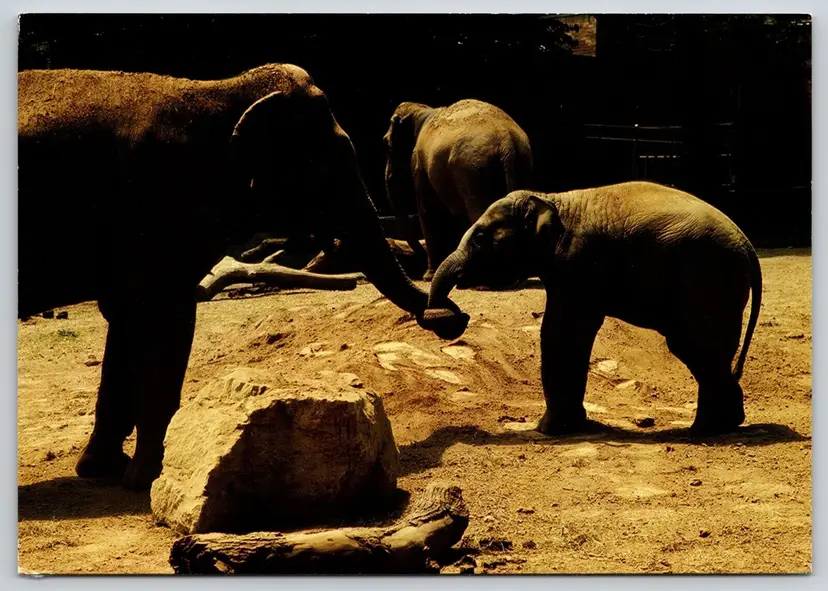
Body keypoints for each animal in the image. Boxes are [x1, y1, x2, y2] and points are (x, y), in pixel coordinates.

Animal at [18, 64, 469, 490]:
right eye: (327, 167)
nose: (452, 316)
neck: (221, 90)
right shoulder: (161, 205)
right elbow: (163, 320)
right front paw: (149, 478)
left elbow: (126, 320)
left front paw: (103, 471)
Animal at [383, 99, 533, 280]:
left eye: (387, 146)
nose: (420, 273)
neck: (422, 111)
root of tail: (507, 142)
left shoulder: (420, 163)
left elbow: (428, 210)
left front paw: (429, 276)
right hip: (521, 161)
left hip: (474, 170)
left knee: (478, 212)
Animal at [427, 181, 763, 436]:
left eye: (481, 238)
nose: (458, 315)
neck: (552, 199)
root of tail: (747, 245)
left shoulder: (579, 266)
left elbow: (561, 331)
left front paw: (550, 431)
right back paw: (722, 425)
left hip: (708, 279)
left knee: (691, 345)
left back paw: (704, 431)